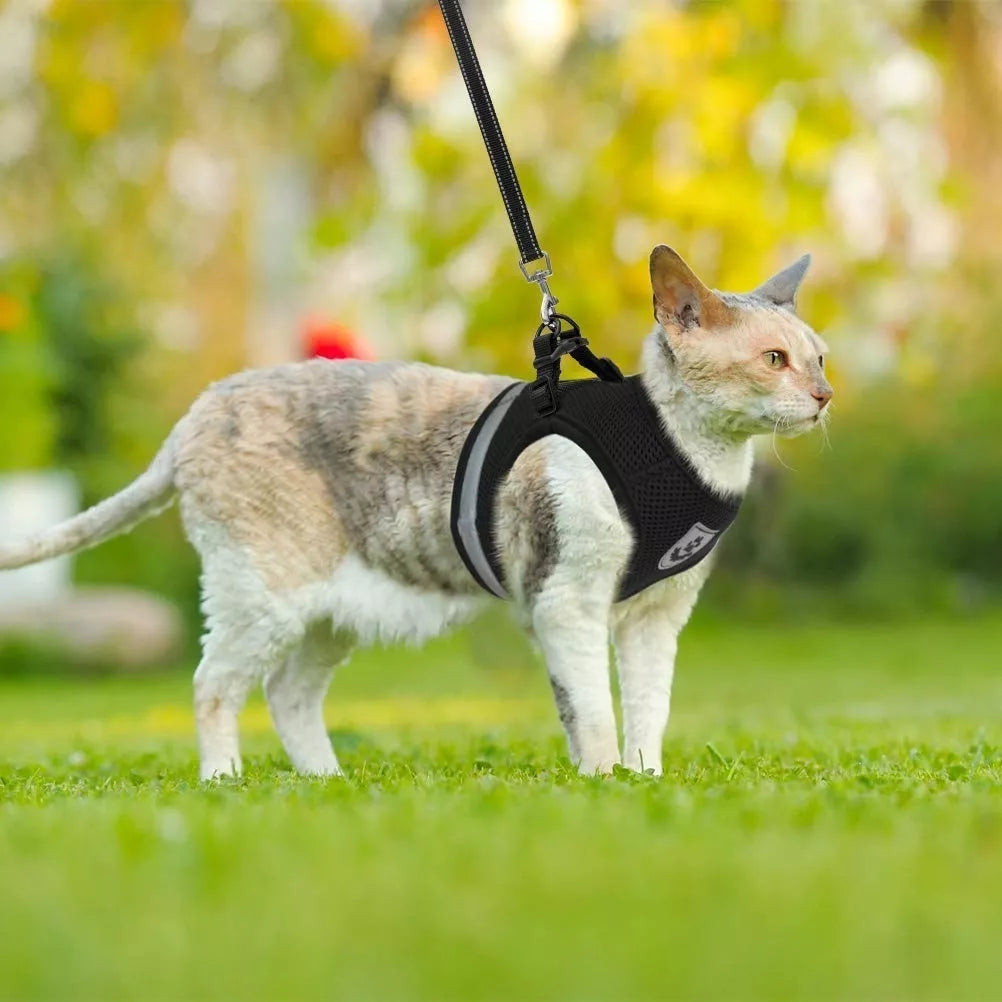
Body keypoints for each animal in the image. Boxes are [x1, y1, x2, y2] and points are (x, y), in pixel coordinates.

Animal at [0, 246, 829, 777]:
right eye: (774, 361)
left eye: (818, 358)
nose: (826, 396)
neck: (683, 453)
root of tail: (199, 409)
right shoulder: (567, 601)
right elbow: (592, 711)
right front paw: (605, 789)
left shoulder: (657, 616)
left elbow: (648, 712)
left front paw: (644, 782)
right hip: (261, 592)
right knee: (213, 686)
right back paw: (225, 782)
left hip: (329, 612)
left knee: (286, 693)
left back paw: (326, 785)